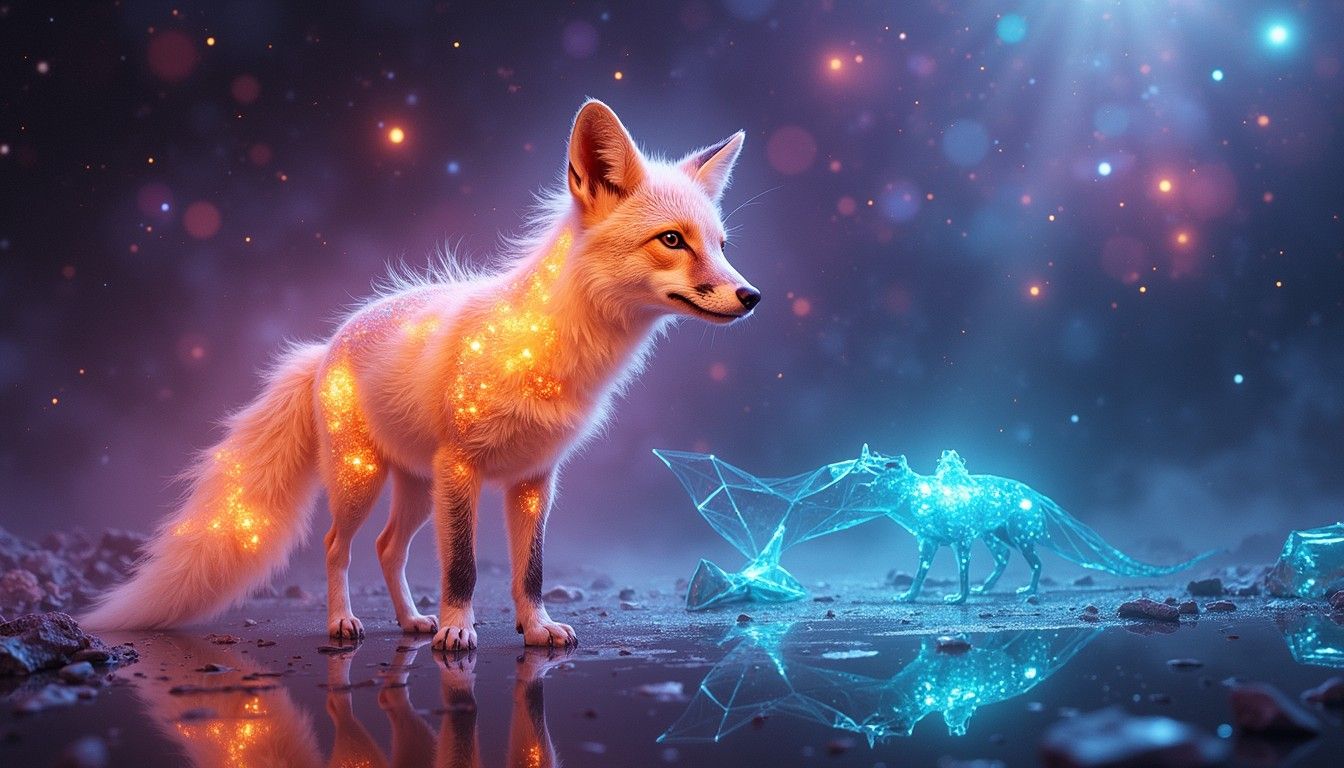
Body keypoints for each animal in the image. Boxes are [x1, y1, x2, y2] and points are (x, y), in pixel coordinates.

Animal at [82, 99, 761, 650]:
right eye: (671, 240)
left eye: (723, 245)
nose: (751, 296)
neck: (544, 352)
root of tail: (327, 343)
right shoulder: (462, 467)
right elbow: (461, 568)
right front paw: (458, 632)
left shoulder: (534, 479)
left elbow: (531, 571)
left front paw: (535, 627)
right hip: (364, 480)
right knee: (337, 546)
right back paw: (344, 622)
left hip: (416, 487)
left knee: (387, 549)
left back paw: (411, 621)